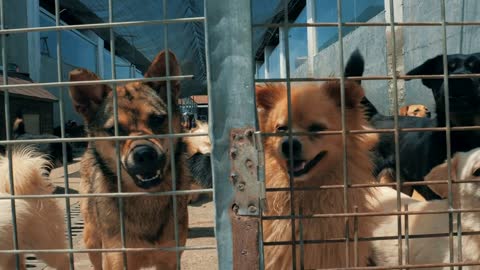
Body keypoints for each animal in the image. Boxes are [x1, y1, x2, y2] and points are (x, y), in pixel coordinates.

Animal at [69, 49, 191, 268]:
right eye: (114, 130)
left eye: (157, 119)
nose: (144, 154)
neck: (145, 198)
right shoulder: (117, 258)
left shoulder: (170, 258)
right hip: (92, 240)